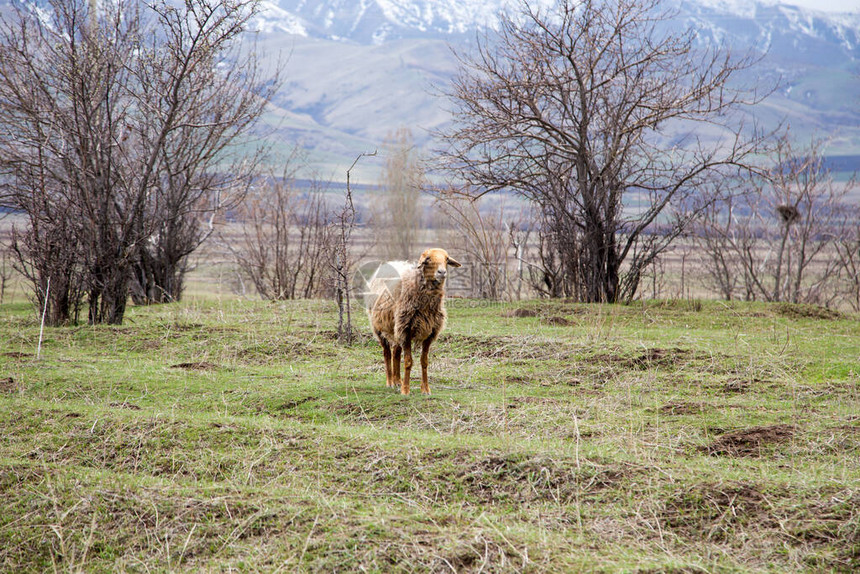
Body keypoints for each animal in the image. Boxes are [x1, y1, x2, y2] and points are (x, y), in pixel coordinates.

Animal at [370, 248, 464, 396]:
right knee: (387, 353)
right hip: (379, 328)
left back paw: (397, 381)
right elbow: (408, 361)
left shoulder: (430, 333)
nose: (442, 272)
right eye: (428, 259)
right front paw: (406, 390)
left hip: (397, 328)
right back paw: (390, 382)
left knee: (396, 352)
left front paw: (425, 389)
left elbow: (424, 361)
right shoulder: (406, 330)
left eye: (446, 259)